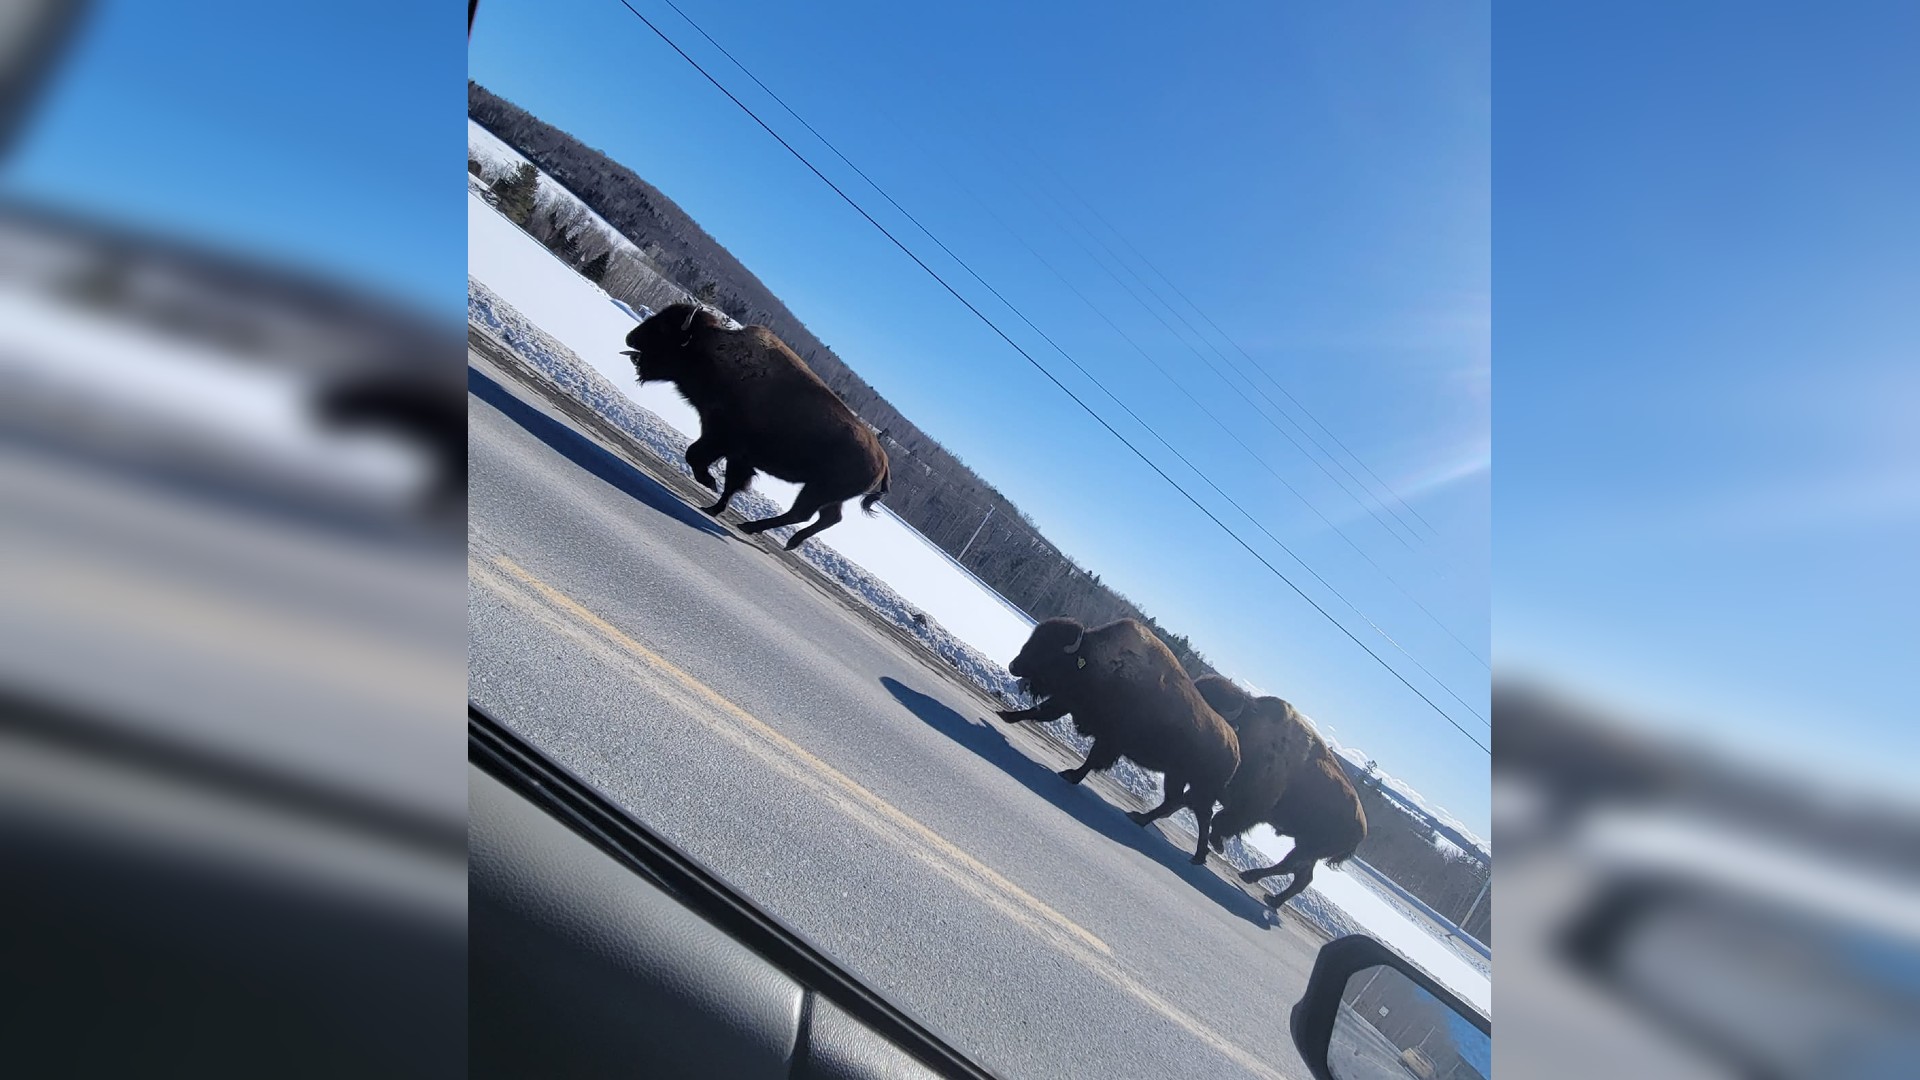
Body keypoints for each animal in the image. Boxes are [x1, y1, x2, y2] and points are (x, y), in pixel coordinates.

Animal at [623, 303, 889, 550]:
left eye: (663, 327)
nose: (630, 338)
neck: (713, 349)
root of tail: (883, 462)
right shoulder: (736, 454)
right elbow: (730, 482)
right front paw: (713, 506)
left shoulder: (720, 439)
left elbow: (696, 456)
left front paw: (708, 482)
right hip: (826, 495)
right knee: (828, 517)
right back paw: (785, 540)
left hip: (817, 490)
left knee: (803, 514)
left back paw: (751, 527)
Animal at [998, 618, 1240, 864]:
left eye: (1047, 649)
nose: (1013, 666)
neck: (1092, 658)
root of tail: (1235, 750)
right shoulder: (1067, 704)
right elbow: (1038, 712)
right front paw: (1005, 715)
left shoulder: (1108, 740)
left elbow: (1091, 759)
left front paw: (1070, 775)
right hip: (1176, 777)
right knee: (1173, 802)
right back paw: (1139, 818)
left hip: (1199, 789)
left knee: (1202, 815)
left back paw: (1197, 857)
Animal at [1193, 675, 1367, 910]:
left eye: (1209, 703)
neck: (1249, 727)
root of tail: (1362, 829)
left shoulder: (1249, 809)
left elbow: (1222, 821)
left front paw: (1217, 844)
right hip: (1305, 847)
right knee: (1302, 876)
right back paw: (1272, 898)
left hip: (1307, 848)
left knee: (1291, 868)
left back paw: (1251, 879)